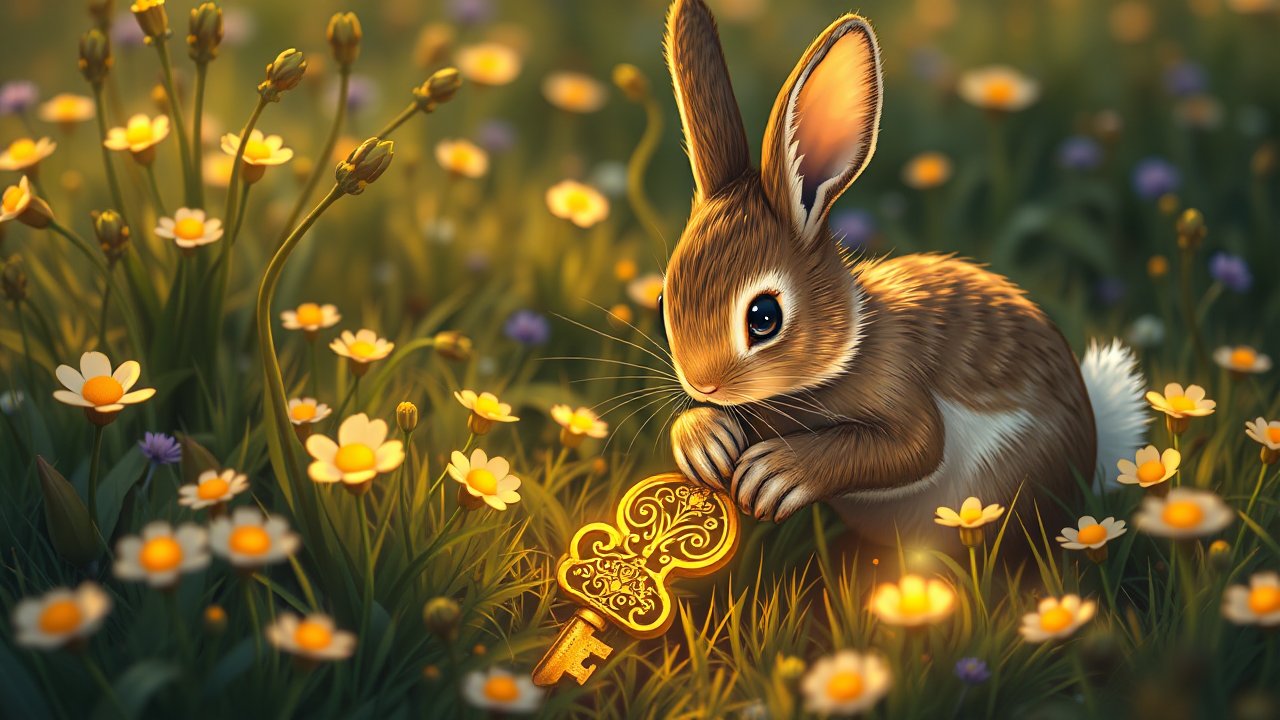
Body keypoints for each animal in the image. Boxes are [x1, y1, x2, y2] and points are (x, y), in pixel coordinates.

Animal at [660, 0, 1148, 547]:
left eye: (764, 317)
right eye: (663, 300)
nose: (703, 385)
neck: (844, 346)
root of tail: (1092, 450)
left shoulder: (899, 384)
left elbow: (913, 448)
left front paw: (776, 473)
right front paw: (705, 444)